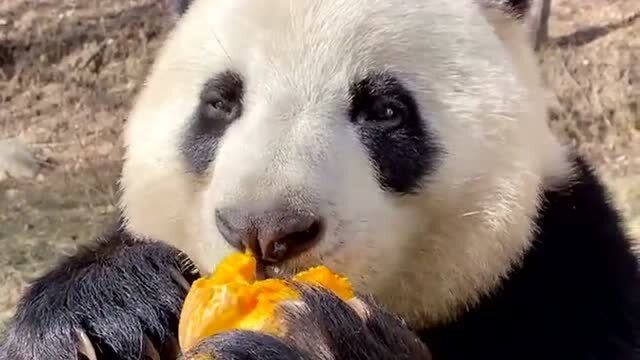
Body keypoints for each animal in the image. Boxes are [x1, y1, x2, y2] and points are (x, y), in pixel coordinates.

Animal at [1, 0, 640, 358]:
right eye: (220, 103)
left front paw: (309, 337)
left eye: (385, 110)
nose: (264, 231)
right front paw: (103, 309)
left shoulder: (571, 284)